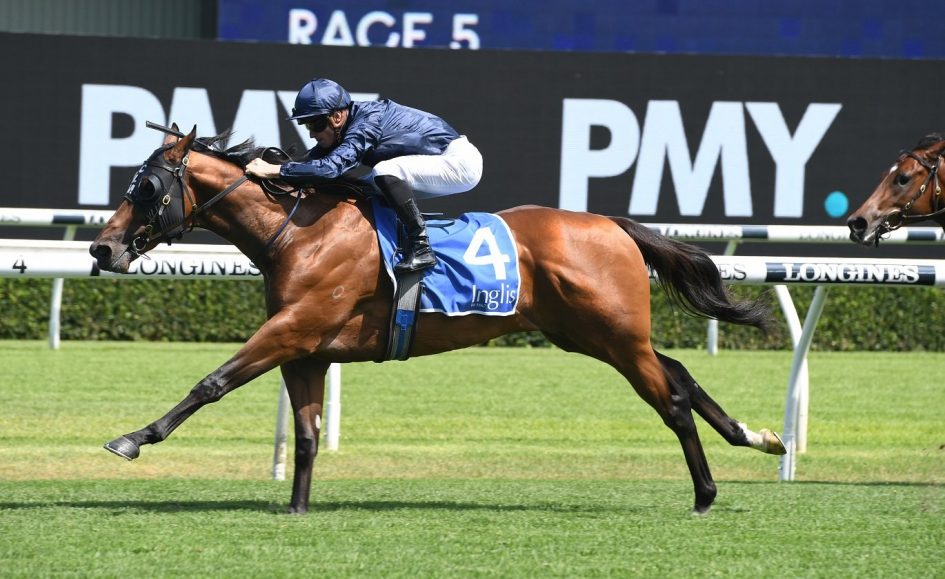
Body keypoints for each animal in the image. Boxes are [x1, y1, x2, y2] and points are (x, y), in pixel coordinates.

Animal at [89, 124, 786, 515]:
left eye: (146, 187)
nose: (101, 248)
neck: (300, 230)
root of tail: (612, 225)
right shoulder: (307, 348)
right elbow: (308, 435)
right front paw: (297, 510)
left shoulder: (291, 329)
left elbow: (211, 382)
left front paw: (133, 438)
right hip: (590, 335)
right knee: (680, 374)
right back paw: (757, 437)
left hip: (613, 336)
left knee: (671, 398)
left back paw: (705, 494)